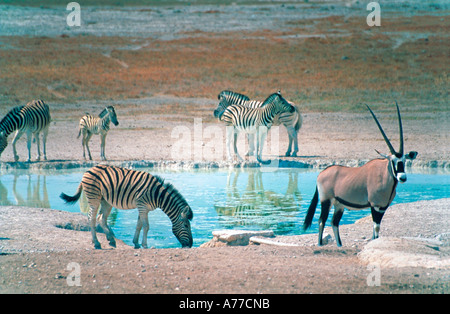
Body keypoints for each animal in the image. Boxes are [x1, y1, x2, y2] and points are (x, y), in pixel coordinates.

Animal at [59, 164, 193, 250]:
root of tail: (87, 170)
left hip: (106, 200)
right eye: (186, 226)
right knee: (91, 218)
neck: (157, 195)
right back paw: (97, 243)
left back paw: (110, 240)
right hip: (94, 198)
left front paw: (136, 243)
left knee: (101, 218)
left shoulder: (143, 208)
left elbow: (139, 225)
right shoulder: (142, 206)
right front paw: (145, 245)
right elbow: (146, 226)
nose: (191, 245)